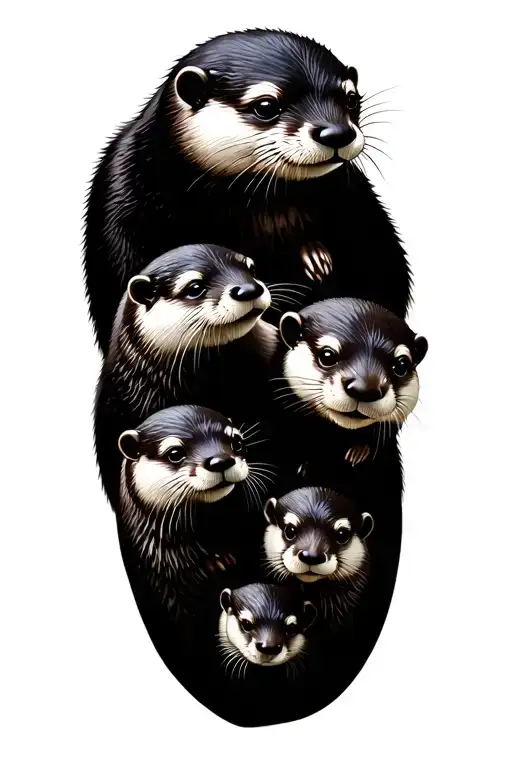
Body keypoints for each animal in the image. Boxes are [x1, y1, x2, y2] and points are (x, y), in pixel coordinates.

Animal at [84, 29, 410, 353]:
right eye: (266, 106)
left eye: (351, 99)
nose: (337, 133)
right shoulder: (122, 209)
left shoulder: (362, 210)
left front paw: (314, 256)